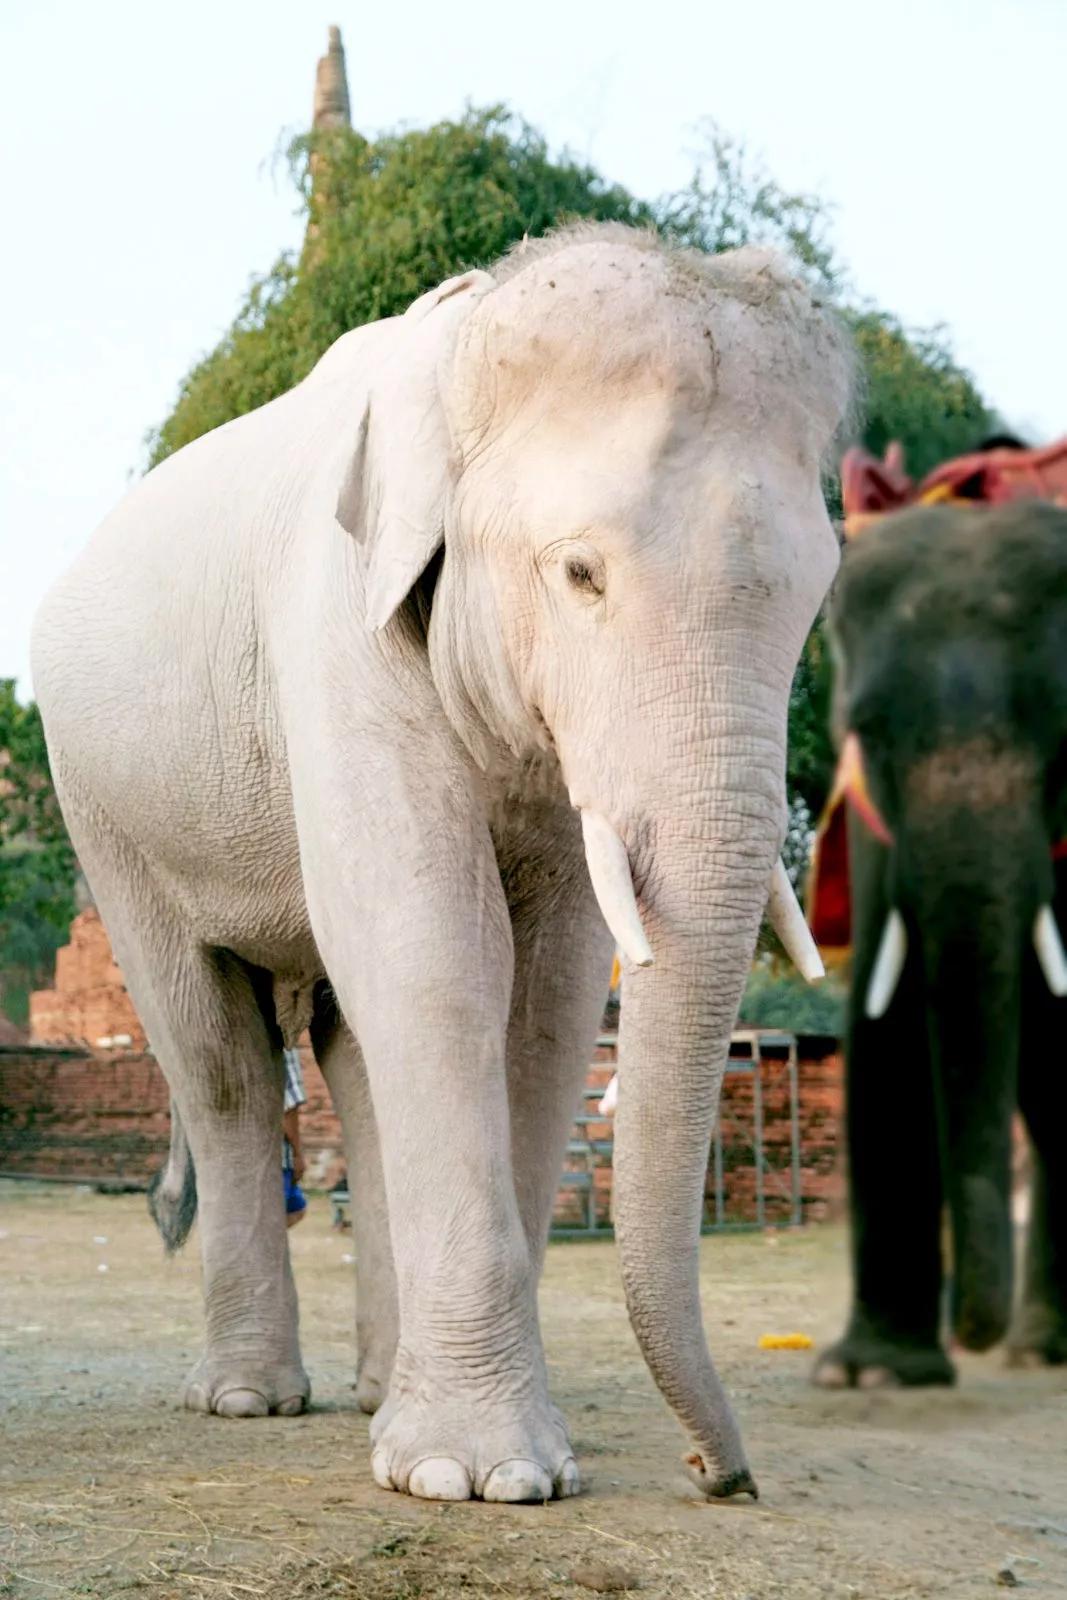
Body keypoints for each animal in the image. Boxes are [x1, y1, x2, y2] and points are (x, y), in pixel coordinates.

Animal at [31, 222, 851, 1497]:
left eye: (819, 596)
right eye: (578, 573)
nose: (720, 1475)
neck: (460, 344)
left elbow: (549, 998)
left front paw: (499, 1454)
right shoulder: (337, 629)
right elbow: (432, 954)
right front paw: (485, 1477)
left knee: (345, 1049)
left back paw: (375, 1390)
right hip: (103, 805)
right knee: (215, 1053)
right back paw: (249, 1398)